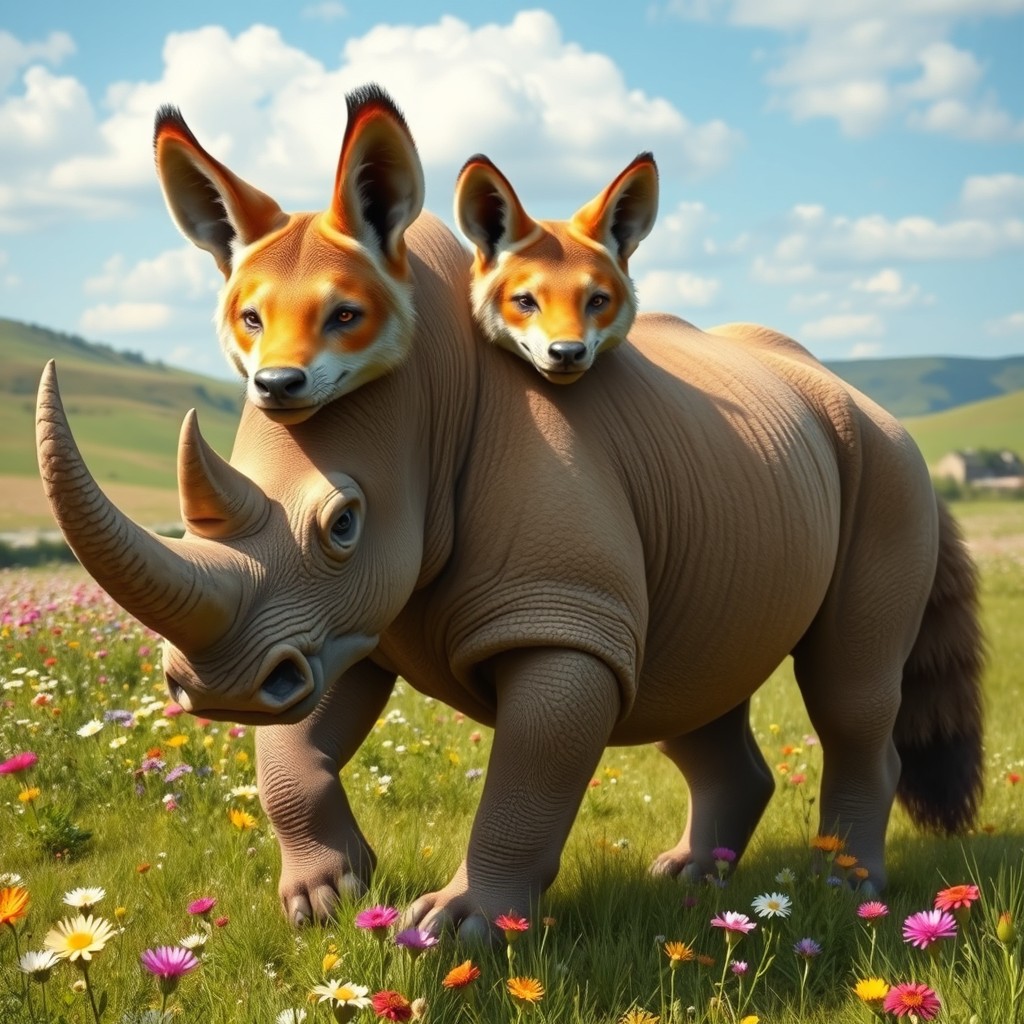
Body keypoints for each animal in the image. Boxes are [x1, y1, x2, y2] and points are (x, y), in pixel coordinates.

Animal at [37, 211, 984, 938]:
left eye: (344, 523)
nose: (218, 688)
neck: (431, 392)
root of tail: (855, 394)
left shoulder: (559, 616)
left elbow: (531, 772)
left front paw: (456, 927)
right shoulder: (338, 622)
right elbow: (293, 742)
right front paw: (327, 898)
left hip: (886, 465)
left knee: (849, 685)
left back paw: (844, 890)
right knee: (686, 681)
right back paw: (687, 880)